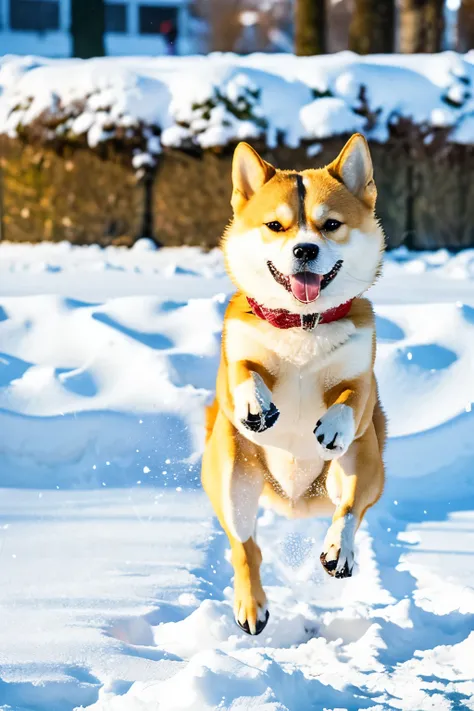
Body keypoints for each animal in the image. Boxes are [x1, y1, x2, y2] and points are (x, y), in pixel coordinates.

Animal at [202, 136, 386, 636]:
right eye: (275, 225)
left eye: (331, 225)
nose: (304, 250)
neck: (302, 326)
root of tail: (294, 501)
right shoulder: (238, 353)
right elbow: (245, 371)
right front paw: (256, 403)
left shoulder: (360, 379)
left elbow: (351, 397)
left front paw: (333, 423)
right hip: (232, 478)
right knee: (245, 546)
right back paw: (251, 606)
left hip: (361, 462)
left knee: (349, 510)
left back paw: (338, 552)